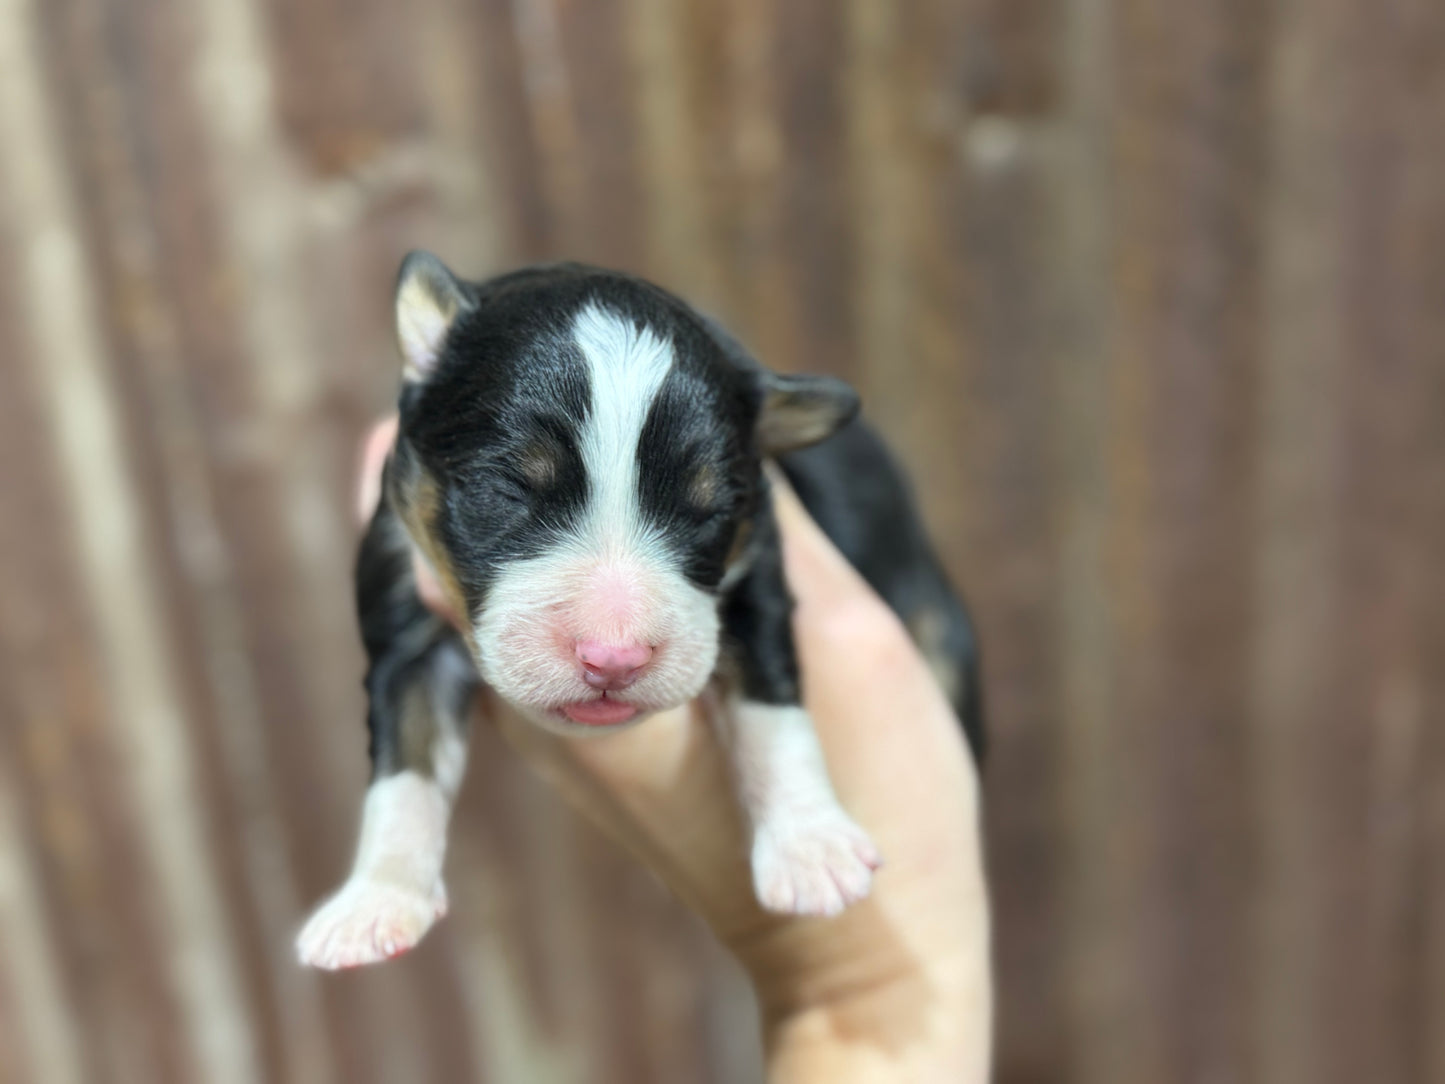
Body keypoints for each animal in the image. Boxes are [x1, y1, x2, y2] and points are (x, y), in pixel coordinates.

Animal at [293, 257, 982, 977]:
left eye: (708, 510)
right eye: (505, 489)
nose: (613, 658)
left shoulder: (759, 569)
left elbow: (772, 704)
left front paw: (811, 847)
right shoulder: (399, 604)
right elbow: (403, 761)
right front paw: (376, 900)